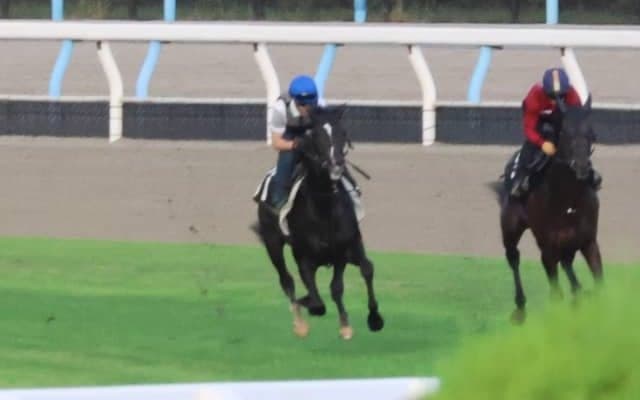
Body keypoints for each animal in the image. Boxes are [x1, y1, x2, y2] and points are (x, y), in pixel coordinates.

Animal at [252, 106, 384, 340]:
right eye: (316, 136)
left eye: (343, 133)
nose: (336, 165)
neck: (324, 208)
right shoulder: (303, 258)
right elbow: (315, 301)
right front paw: (305, 305)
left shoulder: (341, 250)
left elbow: (337, 288)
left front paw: (354, 323)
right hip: (272, 242)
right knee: (286, 280)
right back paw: (299, 321)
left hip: (351, 247)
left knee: (366, 268)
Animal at [494, 98, 603, 323]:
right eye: (565, 133)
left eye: (591, 133)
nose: (581, 166)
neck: (568, 200)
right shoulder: (548, 247)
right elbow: (556, 294)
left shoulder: (588, 241)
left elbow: (599, 284)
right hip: (510, 226)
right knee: (513, 257)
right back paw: (520, 307)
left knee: (567, 263)